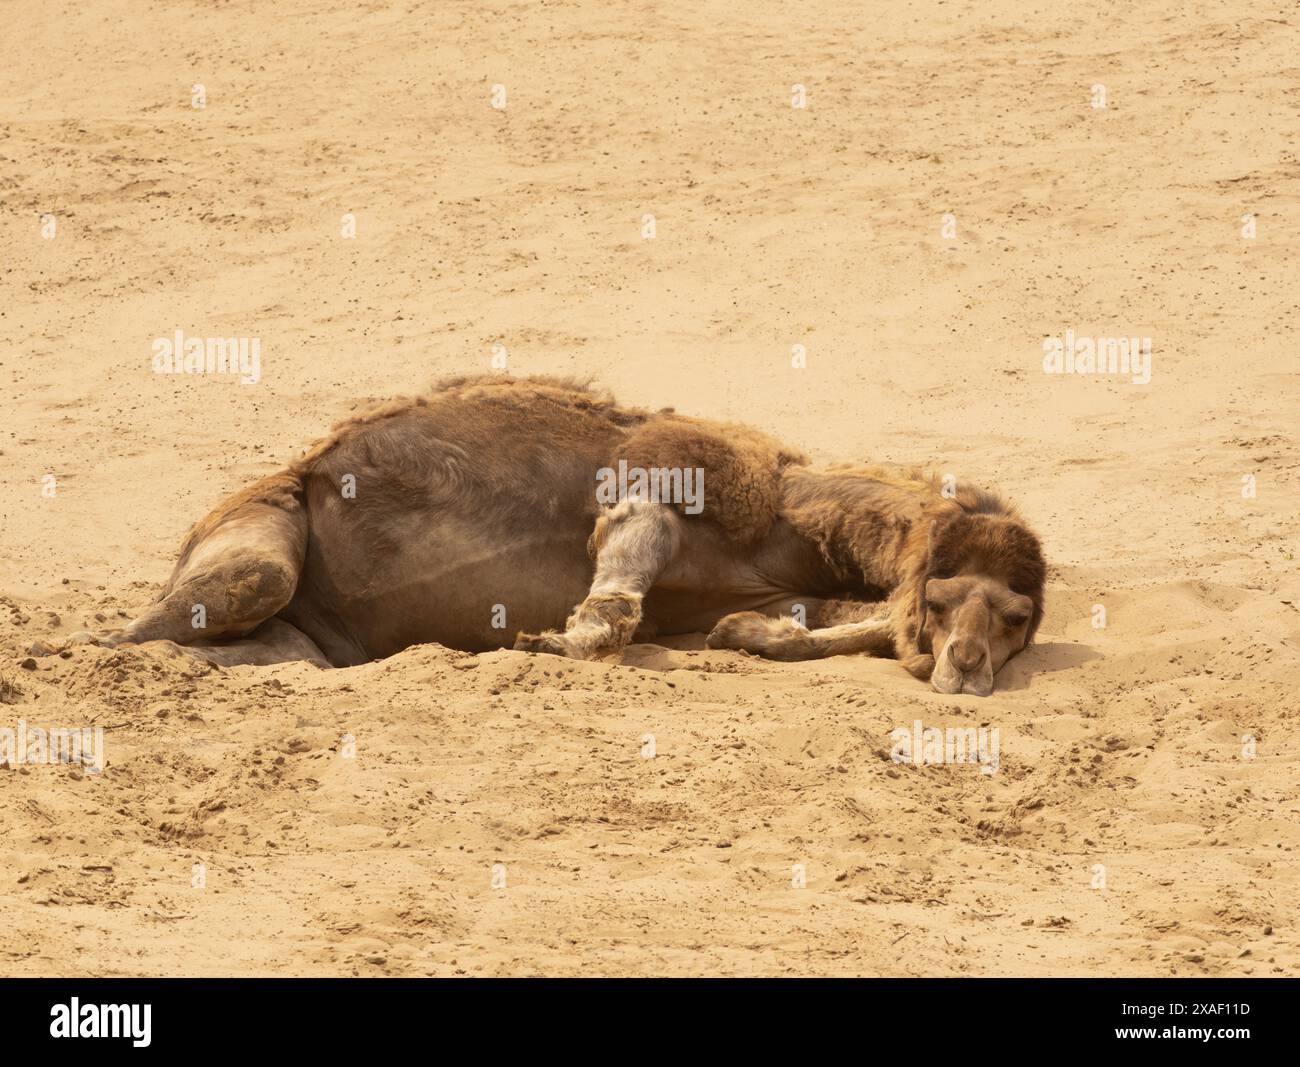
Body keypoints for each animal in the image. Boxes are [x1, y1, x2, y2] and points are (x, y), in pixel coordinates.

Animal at [68, 376, 1045, 701]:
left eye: (1017, 618)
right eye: (946, 598)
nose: (968, 667)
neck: (781, 512)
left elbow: (818, 623)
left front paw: (745, 634)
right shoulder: (653, 478)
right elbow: (615, 600)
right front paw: (553, 641)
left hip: (298, 631)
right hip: (259, 526)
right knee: (185, 609)